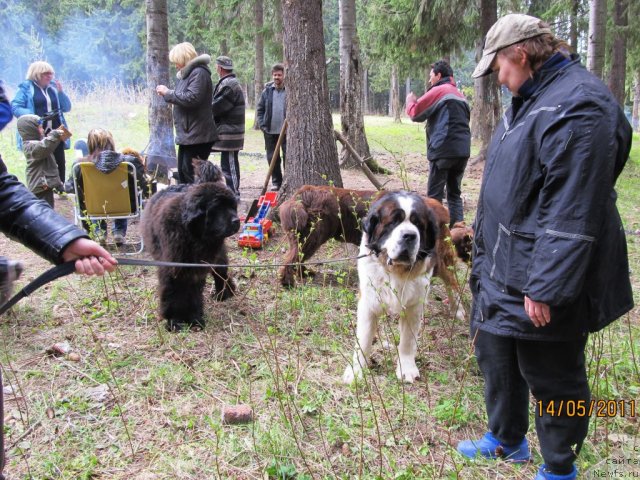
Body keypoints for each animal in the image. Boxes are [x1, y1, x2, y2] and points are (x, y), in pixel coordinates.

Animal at [142, 159, 240, 332]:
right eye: (217, 208)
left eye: (232, 207)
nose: (237, 221)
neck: (193, 236)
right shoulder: (173, 269)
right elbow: (172, 294)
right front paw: (174, 320)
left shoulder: (197, 270)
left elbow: (193, 294)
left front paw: (194, 318)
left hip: (217, 257)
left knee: (221, 274)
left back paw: (223, 294)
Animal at [340, 190, 440, 382]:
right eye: (394, 222)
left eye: (418, 224)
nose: (409, 235)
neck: (396, 271)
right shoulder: (368, 302)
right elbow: (363, 339)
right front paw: (356, 371)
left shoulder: (414, 306)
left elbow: (408, 341)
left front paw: (406, 368)